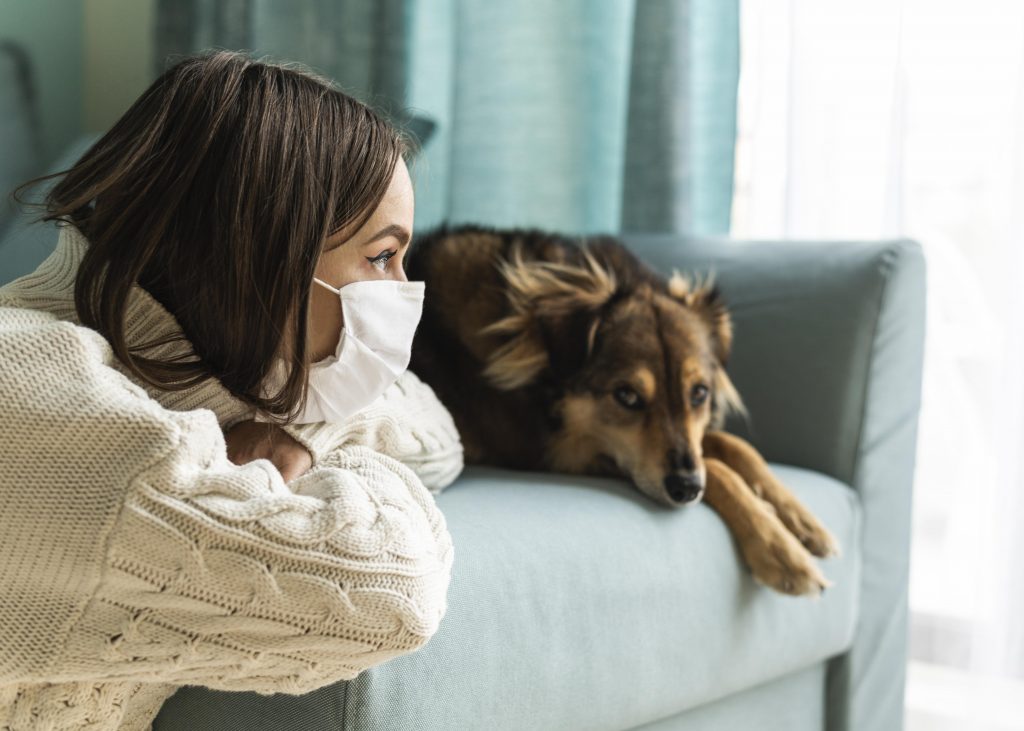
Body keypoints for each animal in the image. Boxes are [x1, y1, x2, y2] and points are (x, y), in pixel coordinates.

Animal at [405, 221, 839, 593]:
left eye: (699, 393)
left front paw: (803, 523)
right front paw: (781, 552)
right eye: (626, 395)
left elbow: (733, 446)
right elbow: (717, 468)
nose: (686, 488)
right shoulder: (559, 453)